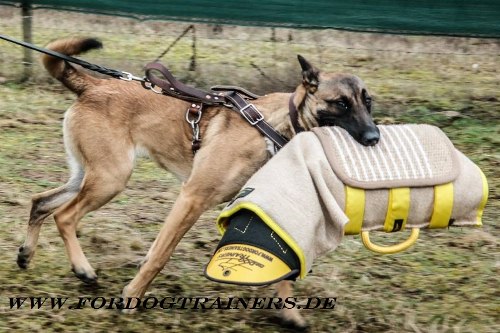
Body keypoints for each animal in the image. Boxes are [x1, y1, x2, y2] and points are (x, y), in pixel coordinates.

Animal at [16, 35, 378, 326]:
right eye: (340, 103)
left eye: (368, 101)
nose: (374, 138)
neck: (273, 128)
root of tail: (95, 84)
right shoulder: (192, 197)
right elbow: (160, 255)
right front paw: (132, 296)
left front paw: (289, 313)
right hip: (110, 179)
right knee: (64, 216)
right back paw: (83, 269)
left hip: (87, 176)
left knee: (40, 203)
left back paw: (26, 255)